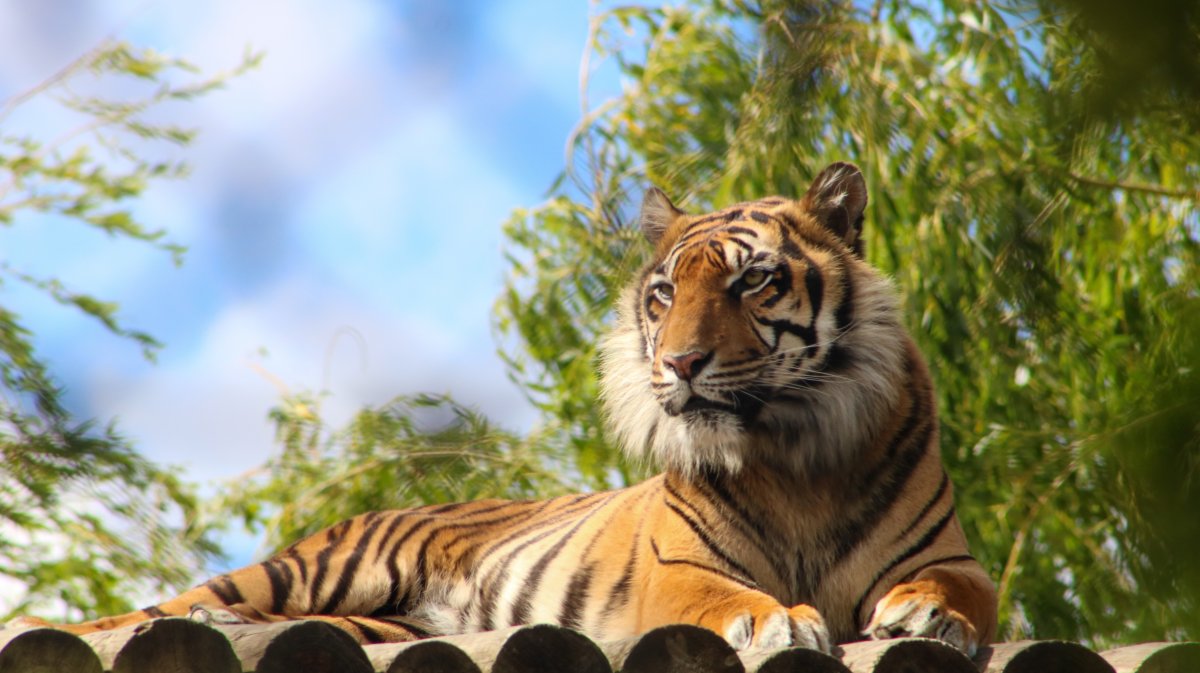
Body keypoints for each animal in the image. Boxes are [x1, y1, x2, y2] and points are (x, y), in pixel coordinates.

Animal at [14, 161, 998, 652]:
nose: (679, 362)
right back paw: (65, 623)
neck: (790, 452)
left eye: (752, 282)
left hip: (371, 615)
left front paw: (924, 616)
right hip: (310, 570)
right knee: (138, 611)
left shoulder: (952, 557)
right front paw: (777, 616)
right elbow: (724, 592)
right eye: (663, 294)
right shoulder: (678, 568)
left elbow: (958, 590)